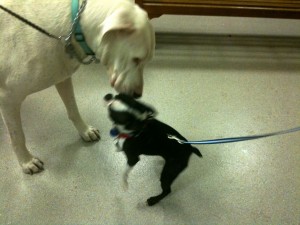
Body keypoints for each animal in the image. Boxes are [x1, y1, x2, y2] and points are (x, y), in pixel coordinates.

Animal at [0, 0, 155, 174]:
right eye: (136, 59)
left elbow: (73, 110)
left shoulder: (63, 78)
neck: (73, 28)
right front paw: (26, 161)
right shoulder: (8, 99)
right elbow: (17, 136)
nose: (137, 95)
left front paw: (84, 130)